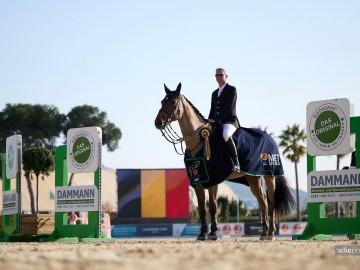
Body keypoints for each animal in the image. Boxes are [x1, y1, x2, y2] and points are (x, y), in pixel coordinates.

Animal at [155, 83, 296, 240]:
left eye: (173, 103)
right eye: (162, 102)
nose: (158, 122)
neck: (198, 140)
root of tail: (270, 138)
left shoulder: (213, 178)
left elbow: (212, 205)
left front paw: (213, 233)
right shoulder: (198, 180)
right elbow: (202, 207)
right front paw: (202, 234)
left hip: (270, 176)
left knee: (271, 201)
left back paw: (271, 233)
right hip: (253, 178)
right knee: (263, 201)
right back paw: (264, 233)